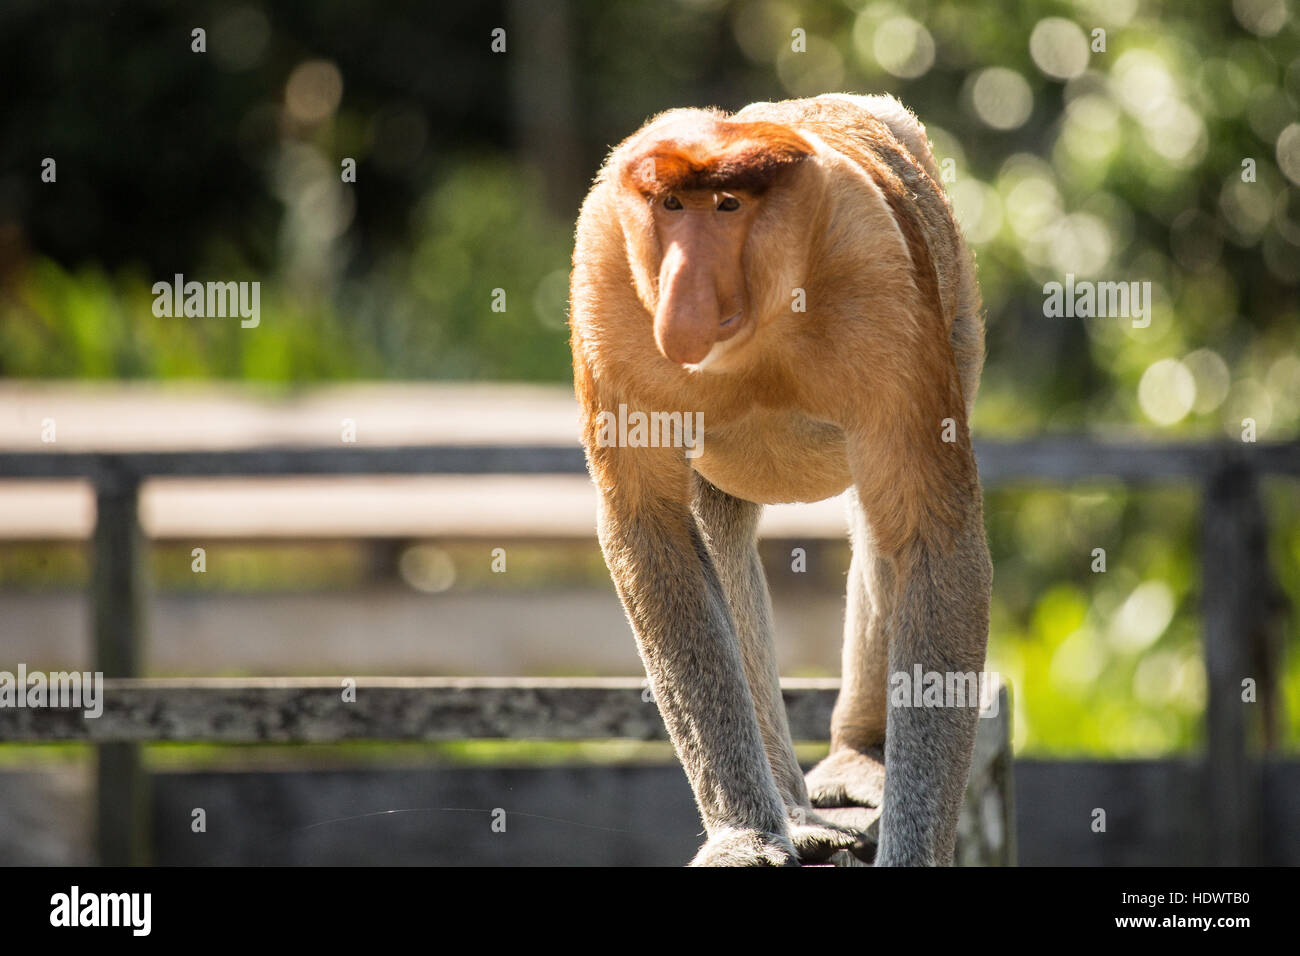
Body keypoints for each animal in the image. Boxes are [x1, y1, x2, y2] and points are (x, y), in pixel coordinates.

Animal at [572, 95, 993, 868]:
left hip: (956, 318)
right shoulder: (606, 280)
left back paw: (860, 762)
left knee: (882, 527)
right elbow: (648, 523)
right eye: (672, 205)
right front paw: (744, 837)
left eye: (728, 206)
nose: (683, 296)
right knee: (722, 532)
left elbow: (934, 536)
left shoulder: (880, 277)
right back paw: (792, 815)